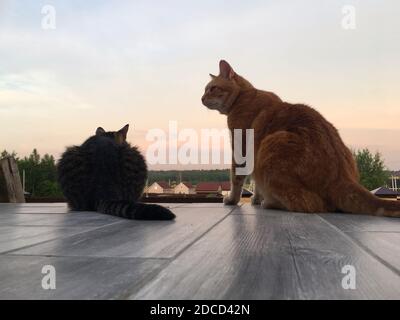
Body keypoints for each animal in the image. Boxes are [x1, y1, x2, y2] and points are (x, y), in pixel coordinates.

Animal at [203, 60, 400, 218]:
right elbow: (256, 183)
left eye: (212, 88)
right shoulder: (253, 154)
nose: (201, 98)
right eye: (205, 90)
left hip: (271, 144)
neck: (244, 95)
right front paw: (256, 199)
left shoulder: (241, 148)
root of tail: (343, 177)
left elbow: (236, 179)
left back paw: (271, 203)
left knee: (309, 204)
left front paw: (231, 200)